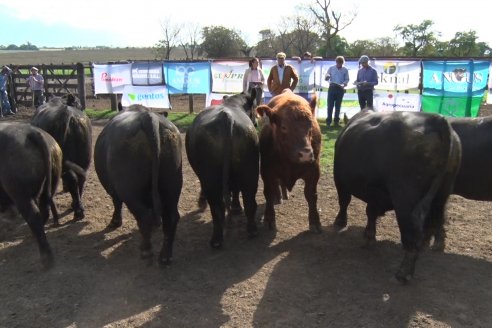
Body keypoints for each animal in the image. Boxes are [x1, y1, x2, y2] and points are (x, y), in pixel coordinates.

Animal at [0, 121, 62, 268]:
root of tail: (31, 132)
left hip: (21, 195)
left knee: (34, 216)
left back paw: (46, 260)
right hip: (51, 182)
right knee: (44, 209)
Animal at [31, 95, 92, 223]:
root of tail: (67, 113)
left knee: (72, 180)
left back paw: (76, 211)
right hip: (85, 159)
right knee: (81, 178)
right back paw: (77, 206)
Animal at [94, 105, 183, 264]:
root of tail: (148, 117)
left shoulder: (114, 189)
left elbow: (116, 203)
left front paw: (115, 222)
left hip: (129, 190)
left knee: (144, 216)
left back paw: (146, 249)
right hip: (172, 184)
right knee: (171, 217)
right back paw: (165, 256)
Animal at [185, 91, 262, 247]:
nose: (257, 122)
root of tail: (226, 117)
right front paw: (236, 207)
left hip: (210, 177)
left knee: (216, 206)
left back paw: (216, 239)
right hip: (250, 170)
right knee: (249, 199)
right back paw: (252, 230)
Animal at [332, 109, 464, 282]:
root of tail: (435, 118)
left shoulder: (340, 180)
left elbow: (344, 201)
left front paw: (340, 222)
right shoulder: (375, 192)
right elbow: (370, 212)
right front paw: (368, 236)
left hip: (405, 200)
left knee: (411, 234)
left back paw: (403, 273)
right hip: (442, 194)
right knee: (436, 219)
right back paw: (431, 247)